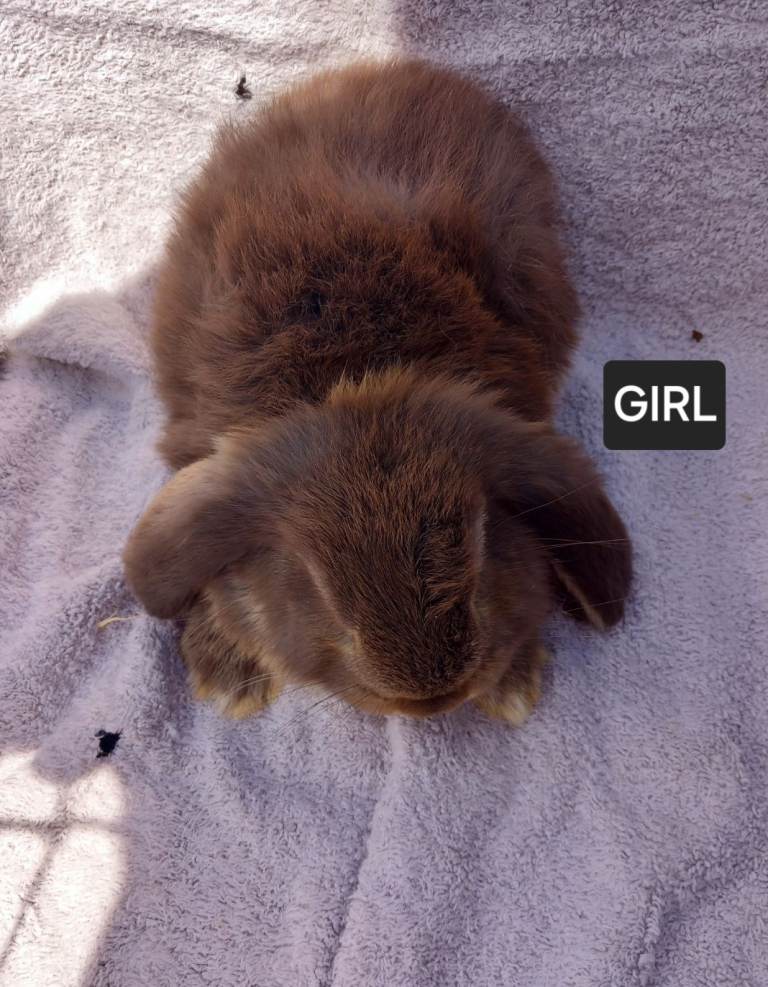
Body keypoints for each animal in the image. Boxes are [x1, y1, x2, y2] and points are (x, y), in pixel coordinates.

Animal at [123, 58, 632, 723]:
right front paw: (228, 677)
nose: (432, 698)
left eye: (482, 545)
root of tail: (402, 67)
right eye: (316, 584)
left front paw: (514, 686)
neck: (359, 371)